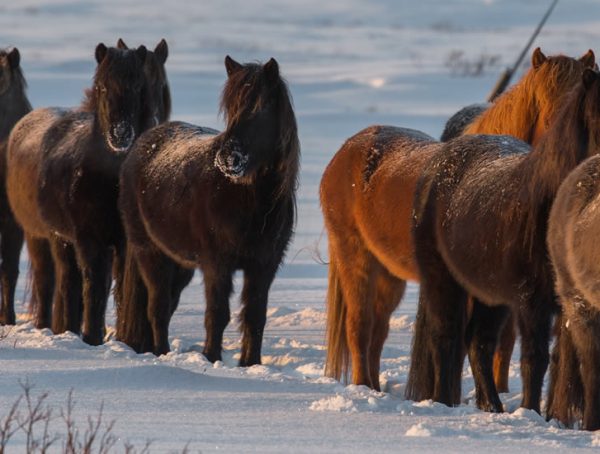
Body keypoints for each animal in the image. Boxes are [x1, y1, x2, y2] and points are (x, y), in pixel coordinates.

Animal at [6, 42, 156, 344]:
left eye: (138, 87)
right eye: (103, 87)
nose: (121, 134)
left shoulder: (124, 243)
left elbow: (120, 289)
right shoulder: (89, 239)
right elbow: (94, 287)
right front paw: (92, 337)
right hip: (51, 238)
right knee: (59, 282)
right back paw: (62, 328)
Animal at [116, 55, 298, 366]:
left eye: (261, 108)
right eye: (231, 108)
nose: (228, 158)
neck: (250, 201)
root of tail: (141, 145)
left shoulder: (264, 265)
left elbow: (254, 317)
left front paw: (251, 364)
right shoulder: (217, 264)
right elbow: (218, 314)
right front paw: (212, 358)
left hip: (180, 264)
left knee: (167, 304)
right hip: (150, 253)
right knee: (157, 307)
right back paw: (161, 352)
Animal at [322, 48, 592, 392]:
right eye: (551, 113)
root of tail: (348, 149)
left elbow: (503, 343)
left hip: (389, 275)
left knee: (377, 333)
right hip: (356, 258)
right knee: (359, 327)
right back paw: (364, 387)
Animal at [408, 68, 600, 414]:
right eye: (596, 116)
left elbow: (567, 366)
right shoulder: (532, 301)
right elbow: (534, 360)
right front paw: (532, 412)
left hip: (490, 295)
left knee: (478, 343)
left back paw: (493, 407)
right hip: (443, 280)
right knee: (446, 338)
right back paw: (444, 403)